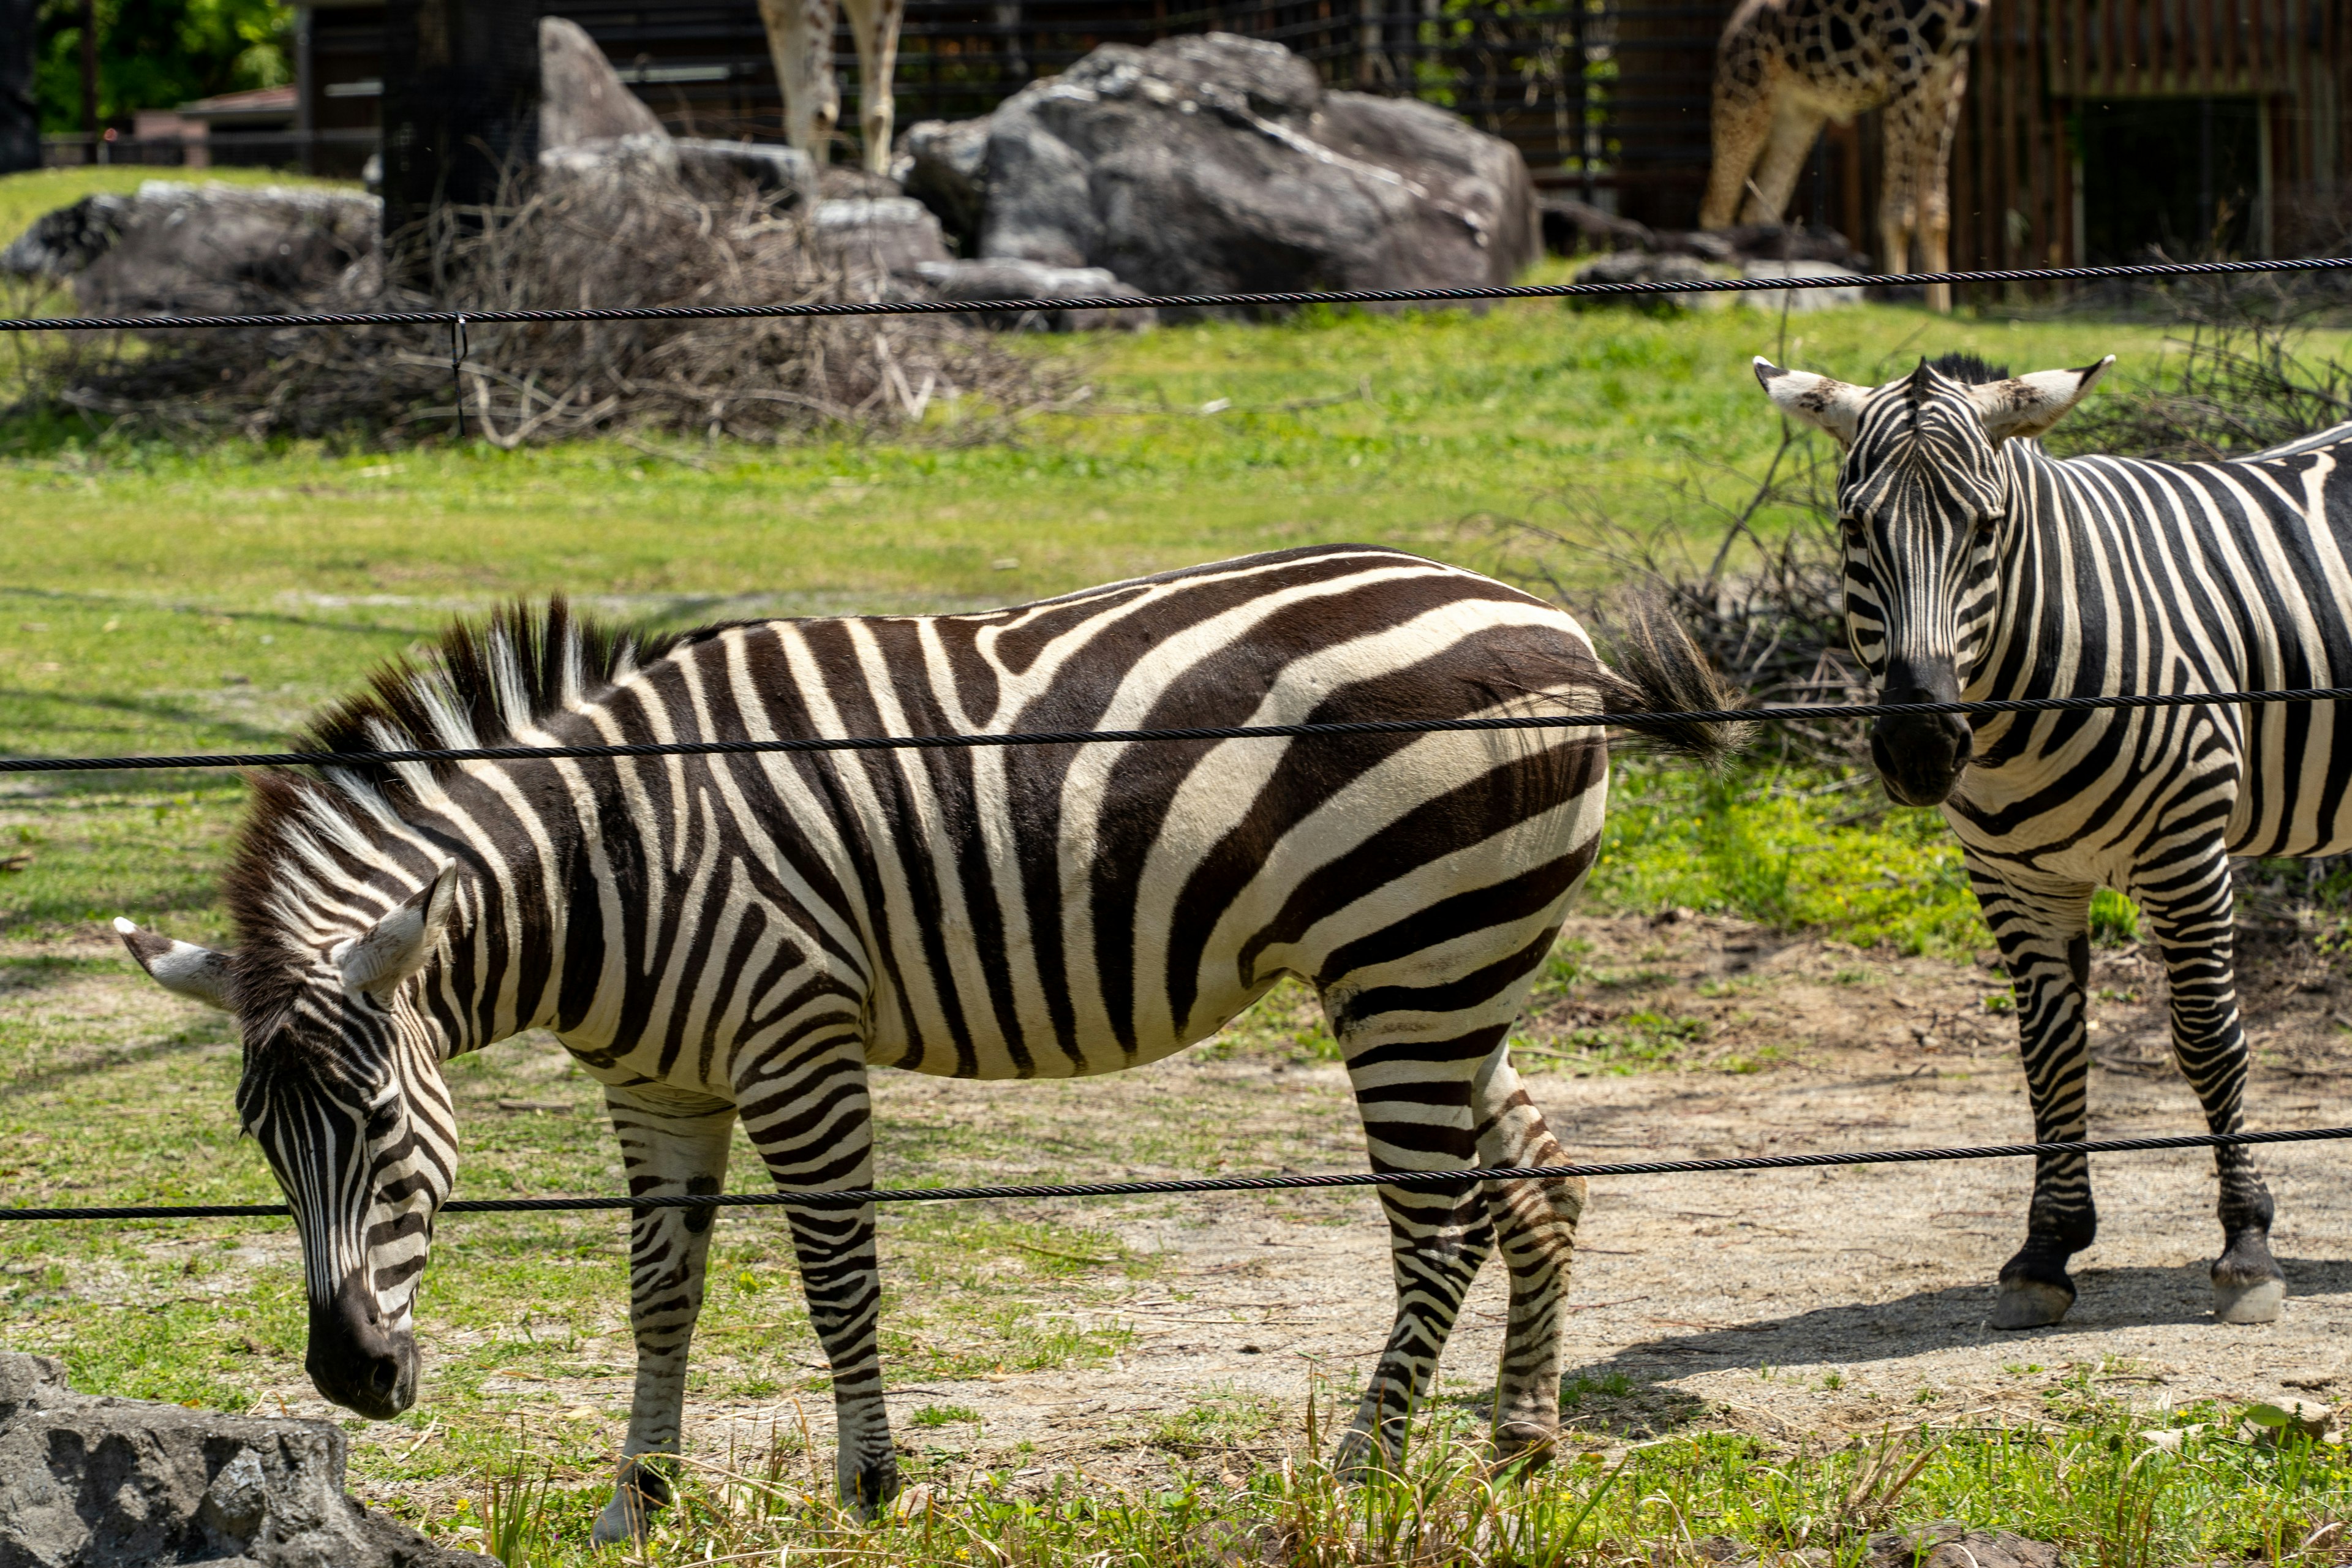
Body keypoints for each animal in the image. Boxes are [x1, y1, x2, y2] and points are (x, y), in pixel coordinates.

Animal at [115, 545, 1731, 1542]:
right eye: (263, 1145)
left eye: (386, 1125)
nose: (349, 1378)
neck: (603, 862)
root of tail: (1552, 623)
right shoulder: (657, 1083)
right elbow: (659, 1292)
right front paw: (637, 1501)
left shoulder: (795, 1040)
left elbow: (837, 1278)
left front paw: (872, 1483)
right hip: (1444, 961)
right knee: (1537, 1178)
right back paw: (1520, 1436)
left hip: (1414, 954)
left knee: (1436, 1220)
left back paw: (1364, 1475)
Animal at [1712, 0, 1985, 312]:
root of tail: (1731, 29)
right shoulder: (1905, 52)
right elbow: (1899, 212)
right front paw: (1898, 298)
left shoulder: (1950, 67)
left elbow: (1936, 211)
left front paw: (1940, 311)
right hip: (1744, 95)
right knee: (1717, 209)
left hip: (1797, 113)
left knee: (1757, 210)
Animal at [1749, 350, 2333, 1335]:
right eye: (1854, 527)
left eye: (1986, 529)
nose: (1920, 746)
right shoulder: (2014, 878)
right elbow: (2049, 1052)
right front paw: (2047, 1250)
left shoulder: (2187, 850)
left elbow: (2208, 1039)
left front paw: (2247, 1247)